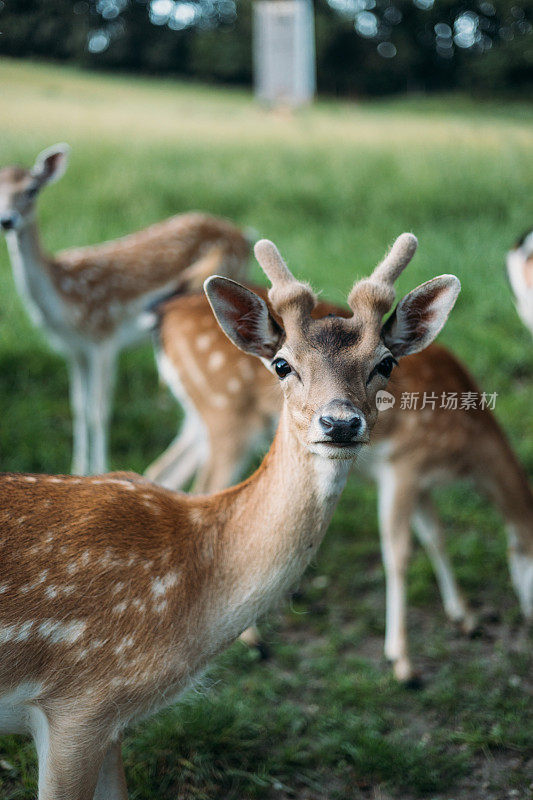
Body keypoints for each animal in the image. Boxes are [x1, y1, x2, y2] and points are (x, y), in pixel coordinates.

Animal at [0, 144, 249, 476]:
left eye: (31, 189)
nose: (7, 220)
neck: (65, 298)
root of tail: (245, 235)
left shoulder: (104, 335)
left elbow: (99, 410)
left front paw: (99, 471)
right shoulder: (74, 349)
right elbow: (79, 408)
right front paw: (75, 470)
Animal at [148, 268, 532, 680]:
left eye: (386, 364)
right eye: (282, 365)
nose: (341, 424)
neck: (466, 452)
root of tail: (164, 316)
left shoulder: (420, 480)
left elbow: (435, 535)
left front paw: (466, 618)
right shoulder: (404, 465)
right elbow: (399, 552)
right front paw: (403, 662)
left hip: (197, 420)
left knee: (166, 472)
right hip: (227, 416)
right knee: (209, 491)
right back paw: (251, 638)